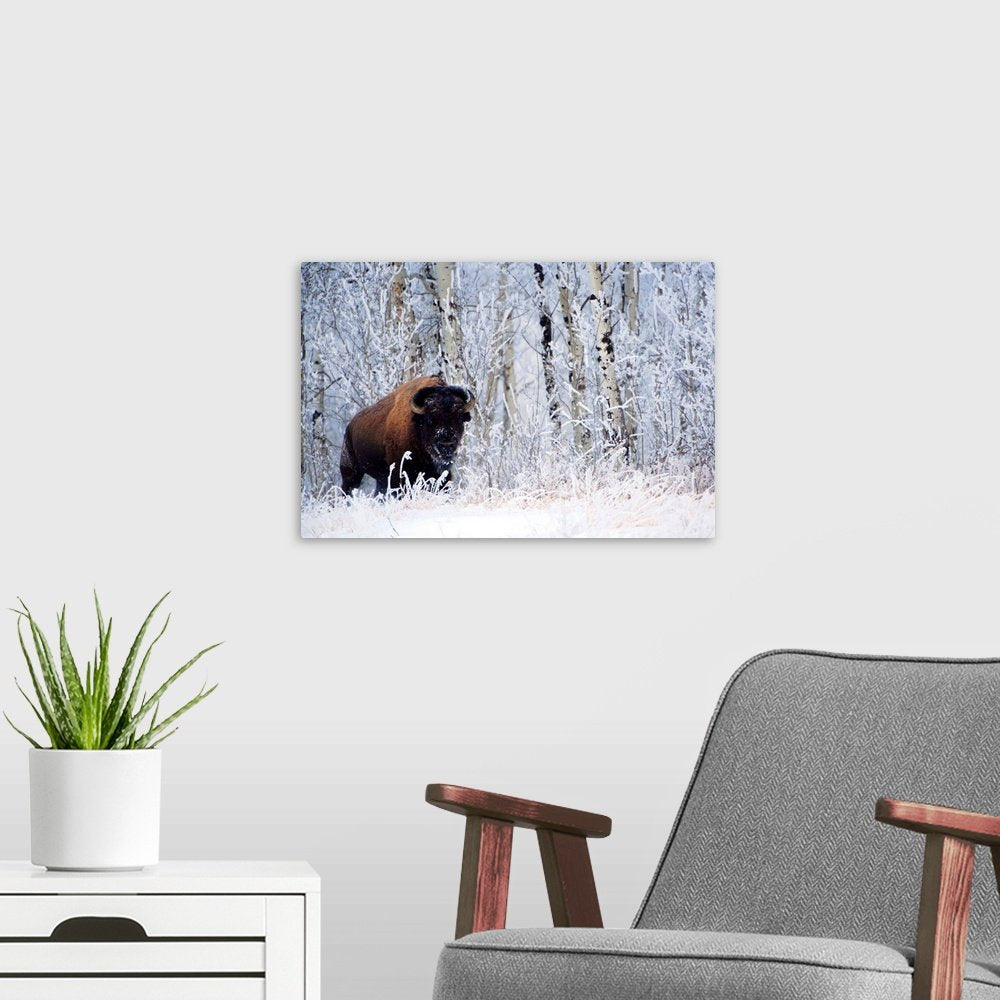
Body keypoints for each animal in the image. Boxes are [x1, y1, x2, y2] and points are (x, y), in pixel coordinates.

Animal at [339, 375, 475, 495]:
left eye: (459, 417)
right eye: (430, 418)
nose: (446, 445)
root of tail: (350, 426)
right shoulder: (400, 477)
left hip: (380, 479)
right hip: (351, 472)